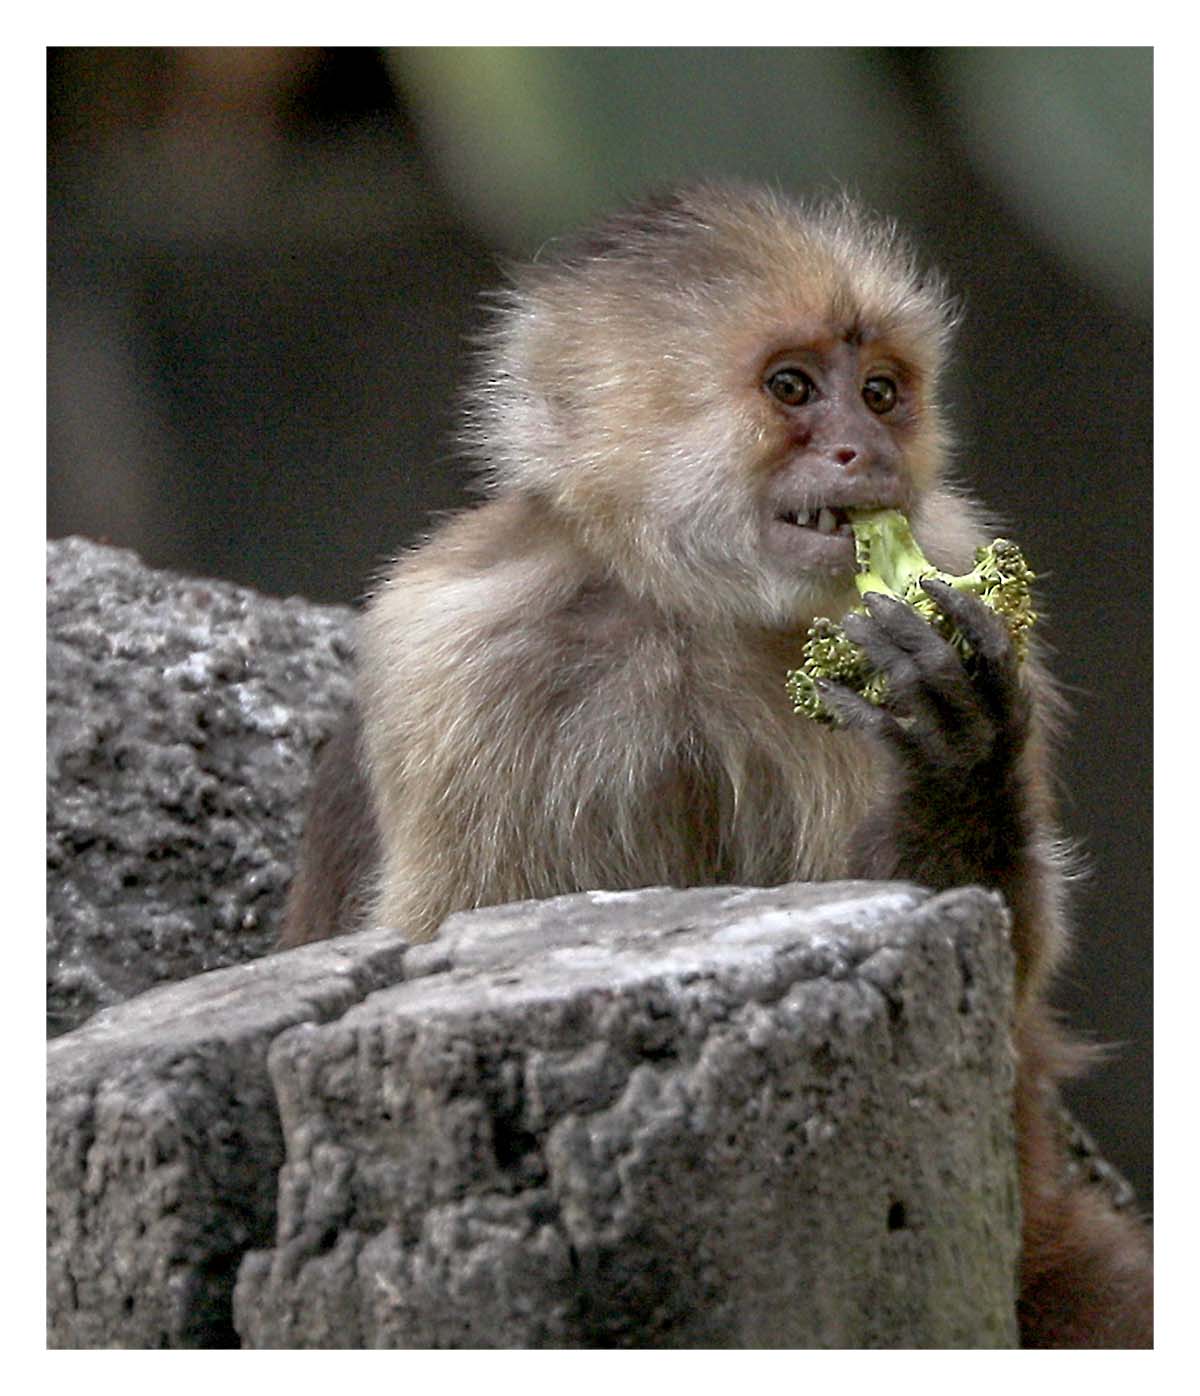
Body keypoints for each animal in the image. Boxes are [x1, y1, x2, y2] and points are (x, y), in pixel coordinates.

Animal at [279, 180, 1155, 1345]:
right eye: (793, 388)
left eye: (881, 393)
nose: (862, 450)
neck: (685, 609)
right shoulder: (454, 659)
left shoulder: (951, 554)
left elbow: (989, 977)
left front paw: (959, 772)